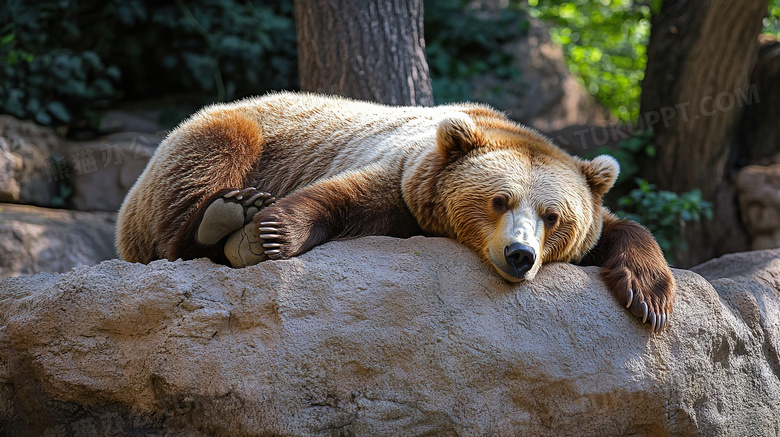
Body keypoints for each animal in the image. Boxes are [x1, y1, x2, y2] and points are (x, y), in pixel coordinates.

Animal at [117, 91, 676, 330]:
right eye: (500, 199)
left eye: (553, 216)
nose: (520, 255)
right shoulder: (404, 174)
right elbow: (343, 195)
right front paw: (266, 234)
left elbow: (623, 230)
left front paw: (648, 298)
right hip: (213, 138)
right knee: (208, 165)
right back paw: (226, 216)